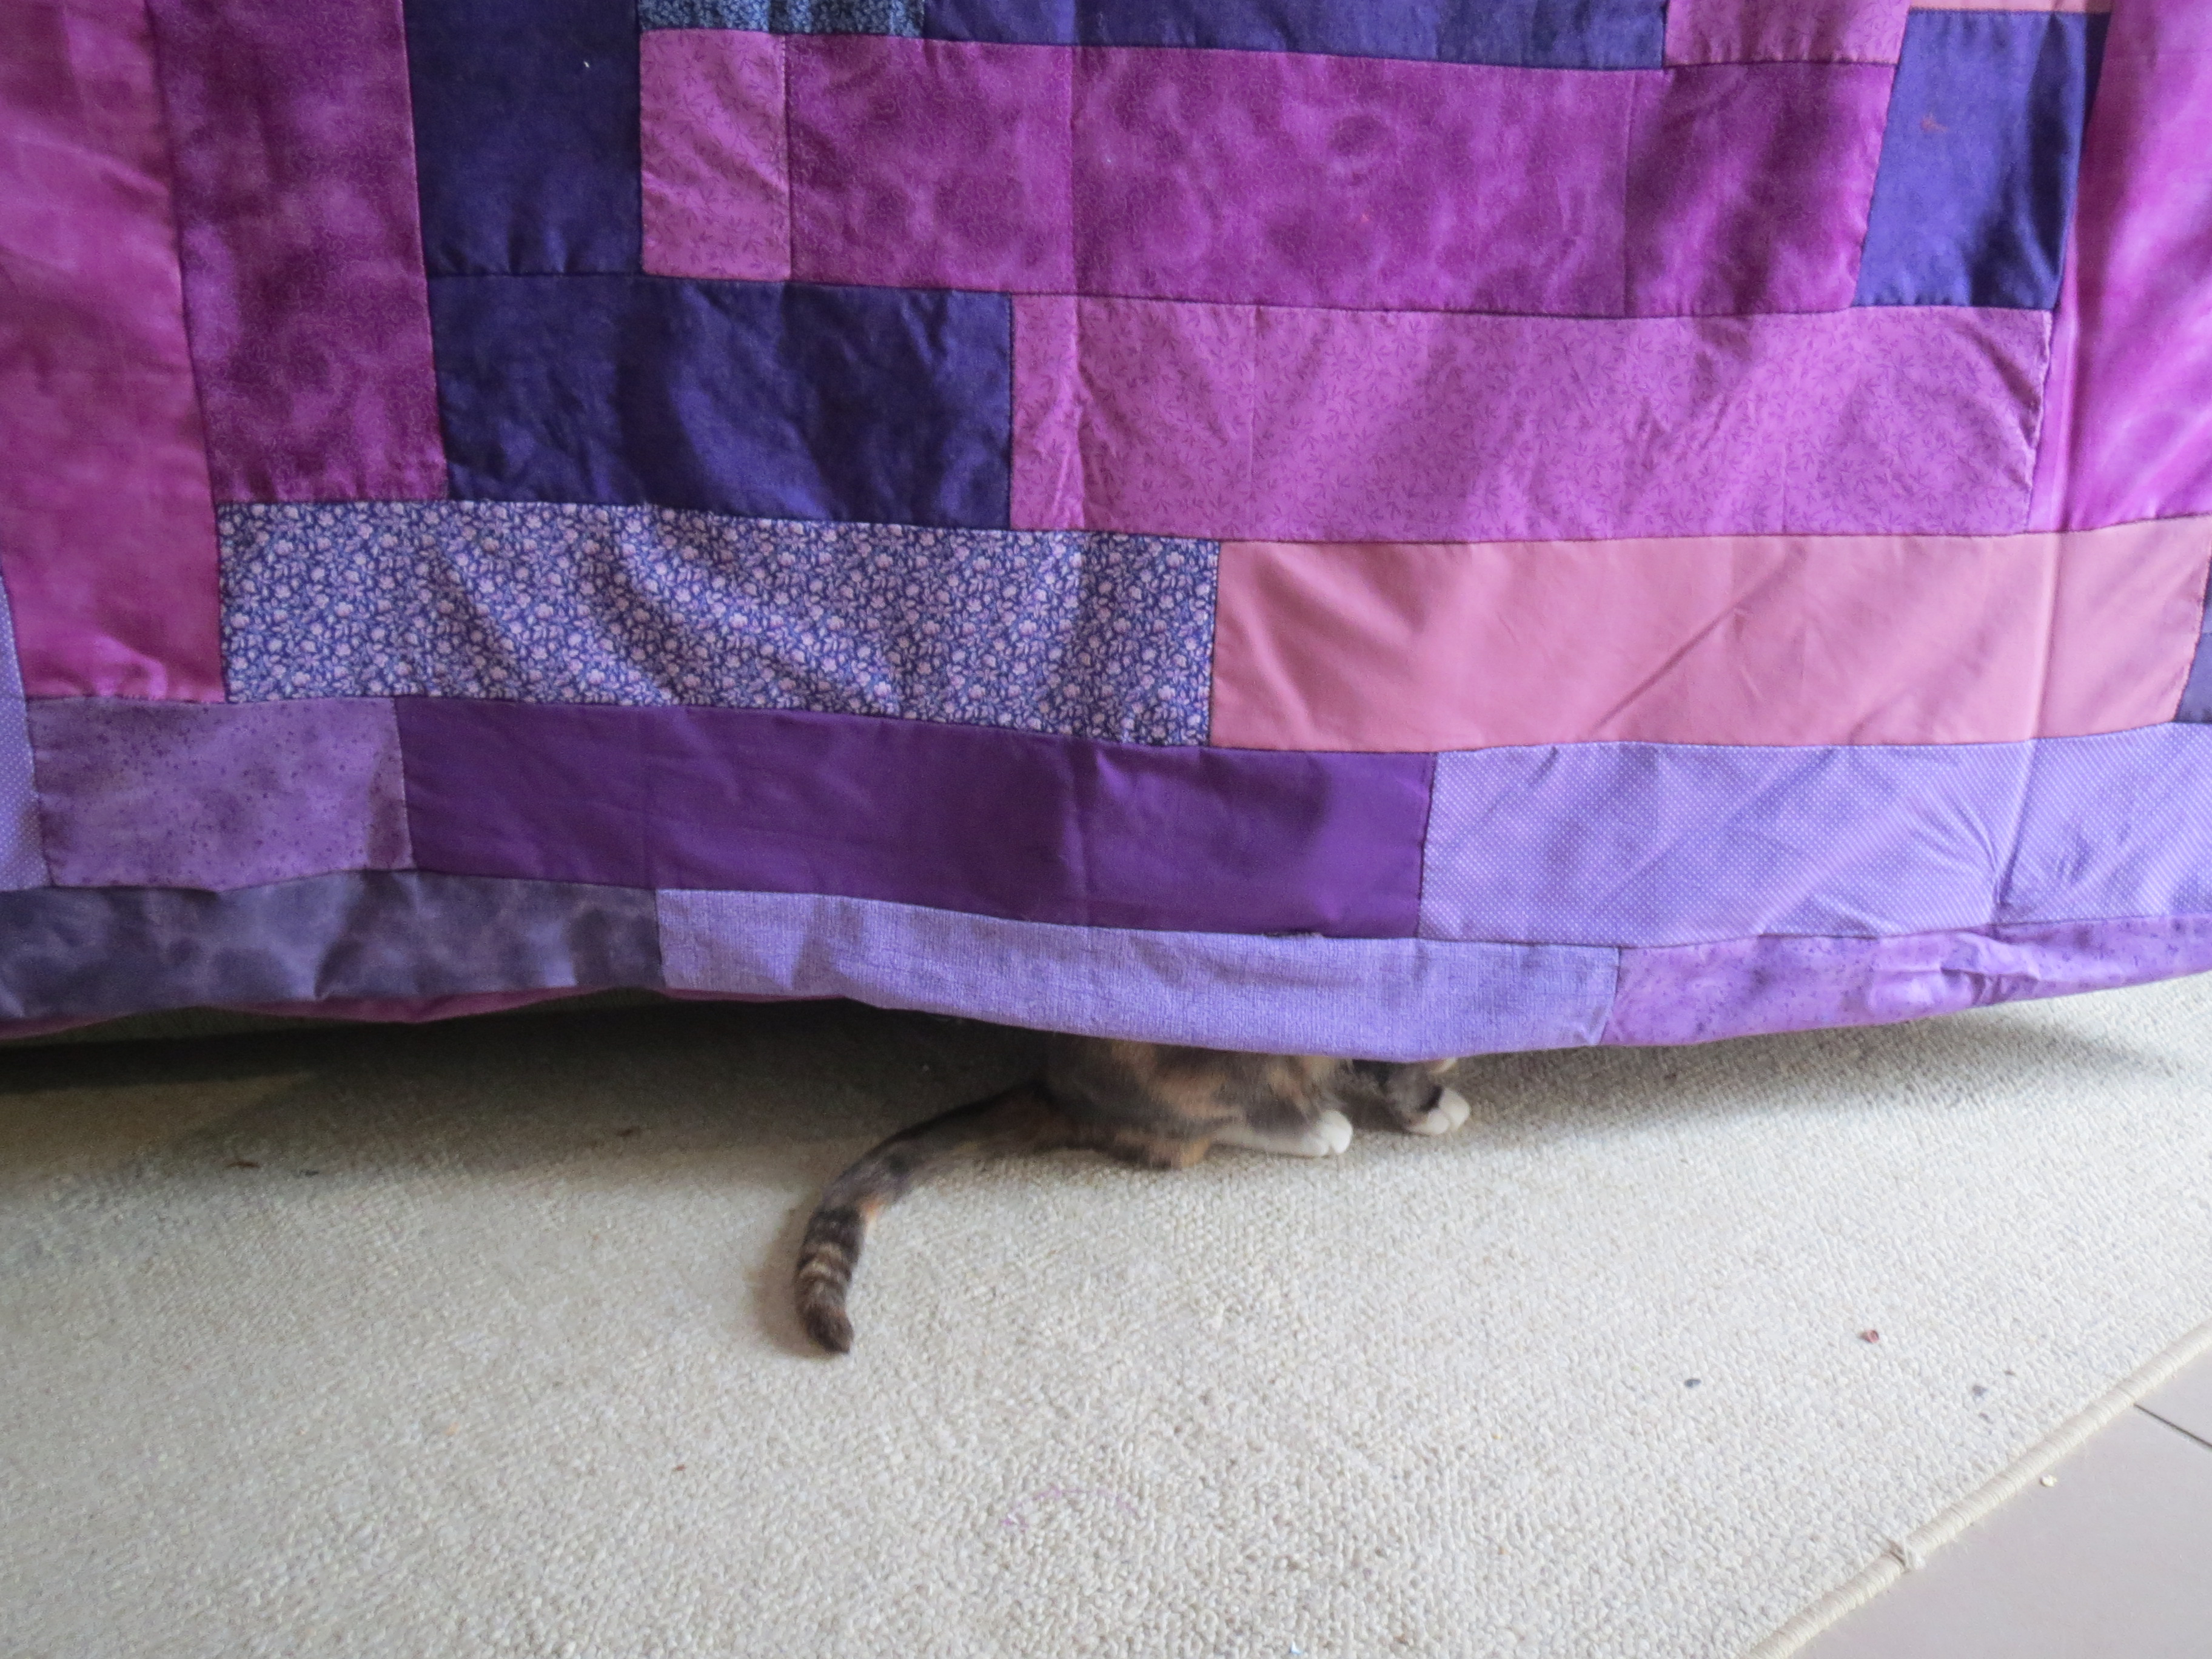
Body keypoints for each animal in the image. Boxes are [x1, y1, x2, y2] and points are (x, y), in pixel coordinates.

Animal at [795, 1037, 1471, 1352]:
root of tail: (1054, 1085)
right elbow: (1403, 1071)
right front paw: (1431, 1103)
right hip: (1218, 1063)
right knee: (1193, 1134)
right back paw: (1312, 1126)